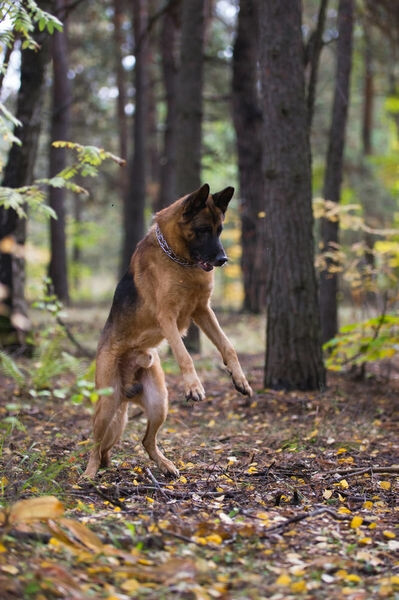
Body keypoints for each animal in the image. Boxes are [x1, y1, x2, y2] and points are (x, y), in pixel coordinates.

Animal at [84, 183, 253, 478]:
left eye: (220, 229)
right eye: (203, 229)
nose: (223, 259)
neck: (178, 260)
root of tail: (126, 390)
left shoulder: (203, 311)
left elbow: (228, 345)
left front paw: (239, 378)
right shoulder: (168, 318)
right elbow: (184, 354)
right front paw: (194, 386)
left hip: (158, 404)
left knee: (146, 441)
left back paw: (165, 465)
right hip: (107, 405)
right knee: (95, 445)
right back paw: (89, 472)